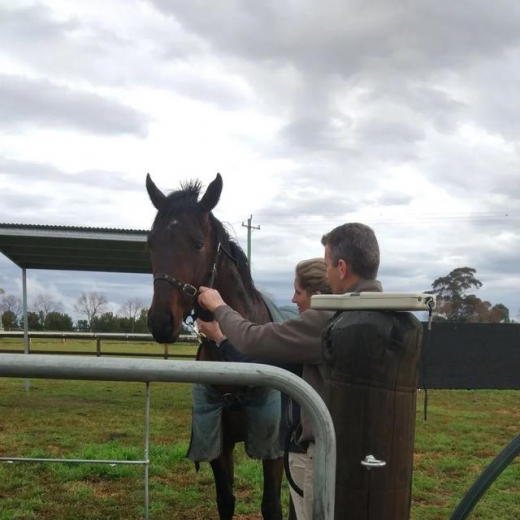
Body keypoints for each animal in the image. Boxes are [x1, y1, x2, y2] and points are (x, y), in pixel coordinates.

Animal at [146, 173, 284, 516]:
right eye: (151, 243)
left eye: (197, 243)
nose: (160, 321)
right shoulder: (219, 445)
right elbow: (226, 500)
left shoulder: (274, 448)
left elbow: (272, 505)